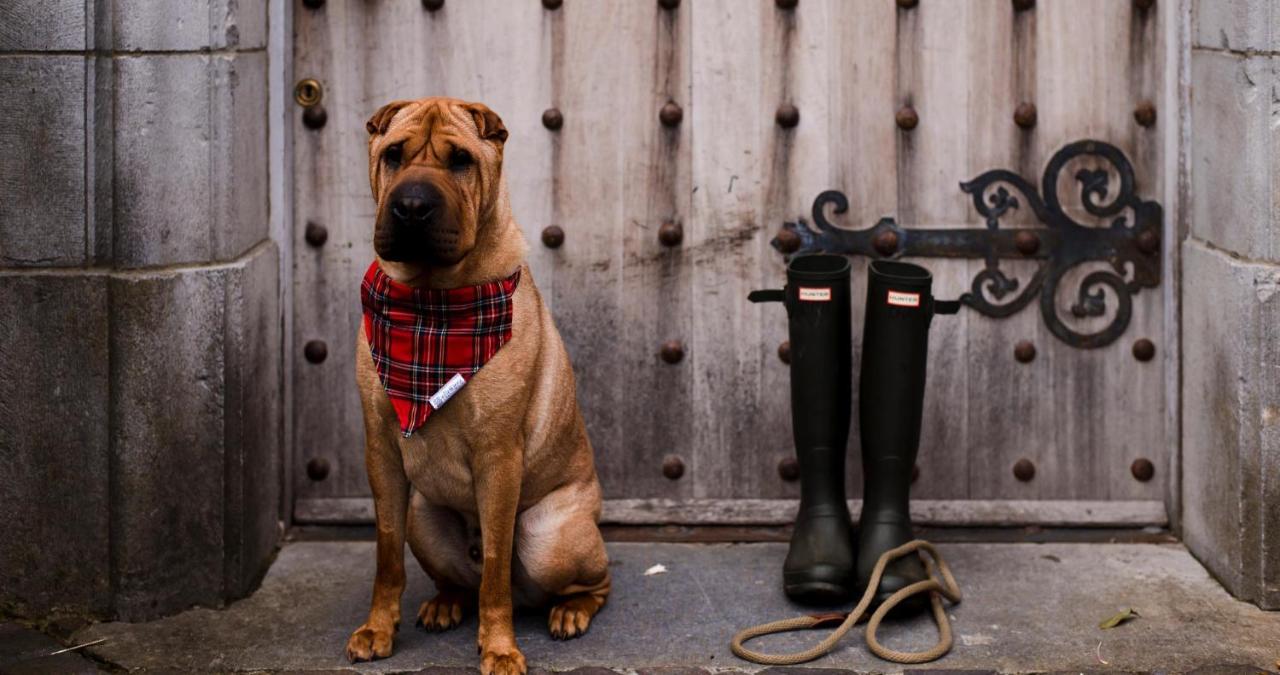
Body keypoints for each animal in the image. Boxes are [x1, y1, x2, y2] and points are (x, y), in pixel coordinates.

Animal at [348, 97, 611, 675]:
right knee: (459, 581)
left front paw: (500, 648)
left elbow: (494, 569)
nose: (412, 206)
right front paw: (378, 628)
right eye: (393, 154)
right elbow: (385, 553)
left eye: (461, 161)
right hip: (424, 516)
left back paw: (571, 611)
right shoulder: (380, 449)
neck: (431, 306)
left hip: (550, 537)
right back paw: (445, 602)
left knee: (588, 581)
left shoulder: (498, 455)